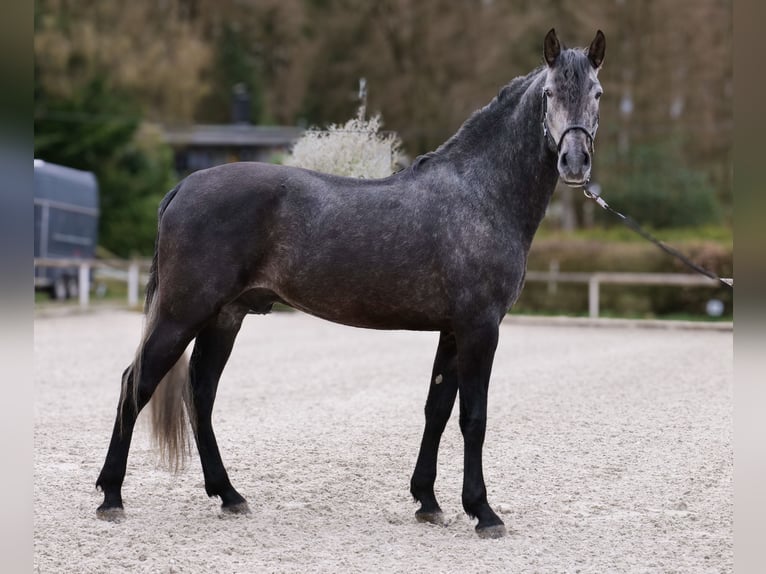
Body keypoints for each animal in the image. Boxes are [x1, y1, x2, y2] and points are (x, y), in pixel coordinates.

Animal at [96, 28, 605, 539]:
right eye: (550, 93)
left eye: (597, 93)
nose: (574, 161)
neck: (480, 194)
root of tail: (184, 186)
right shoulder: (480, 328)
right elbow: (472, 418)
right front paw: (482, 511)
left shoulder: (452, 330)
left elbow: (437, 409)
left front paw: (427, 501)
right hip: (183, 313)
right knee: (135, 384)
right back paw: (111, 496)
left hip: (224, 318)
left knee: (200, 395)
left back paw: (229, 495)